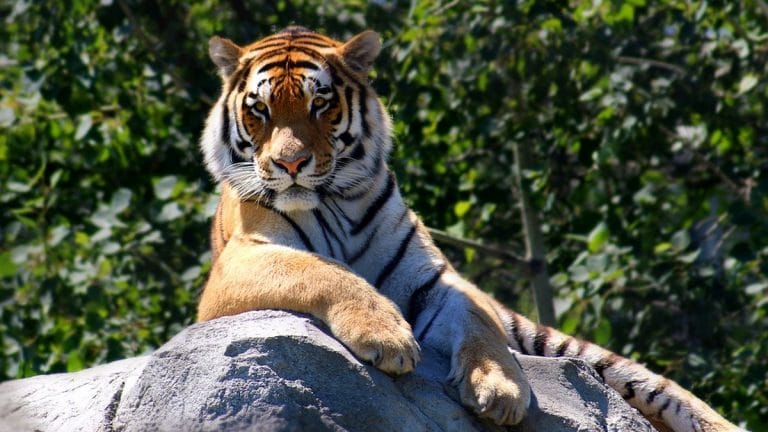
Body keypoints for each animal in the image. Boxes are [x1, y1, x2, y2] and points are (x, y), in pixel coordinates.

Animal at [196, 26, 741, 431]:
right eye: (260, 110)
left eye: (320, 105)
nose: (290, 164)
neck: (336, 202)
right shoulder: (241, 262)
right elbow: (321, 270)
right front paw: (386, 336)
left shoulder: (435, 279)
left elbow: (479, 323)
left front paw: (500, 390)